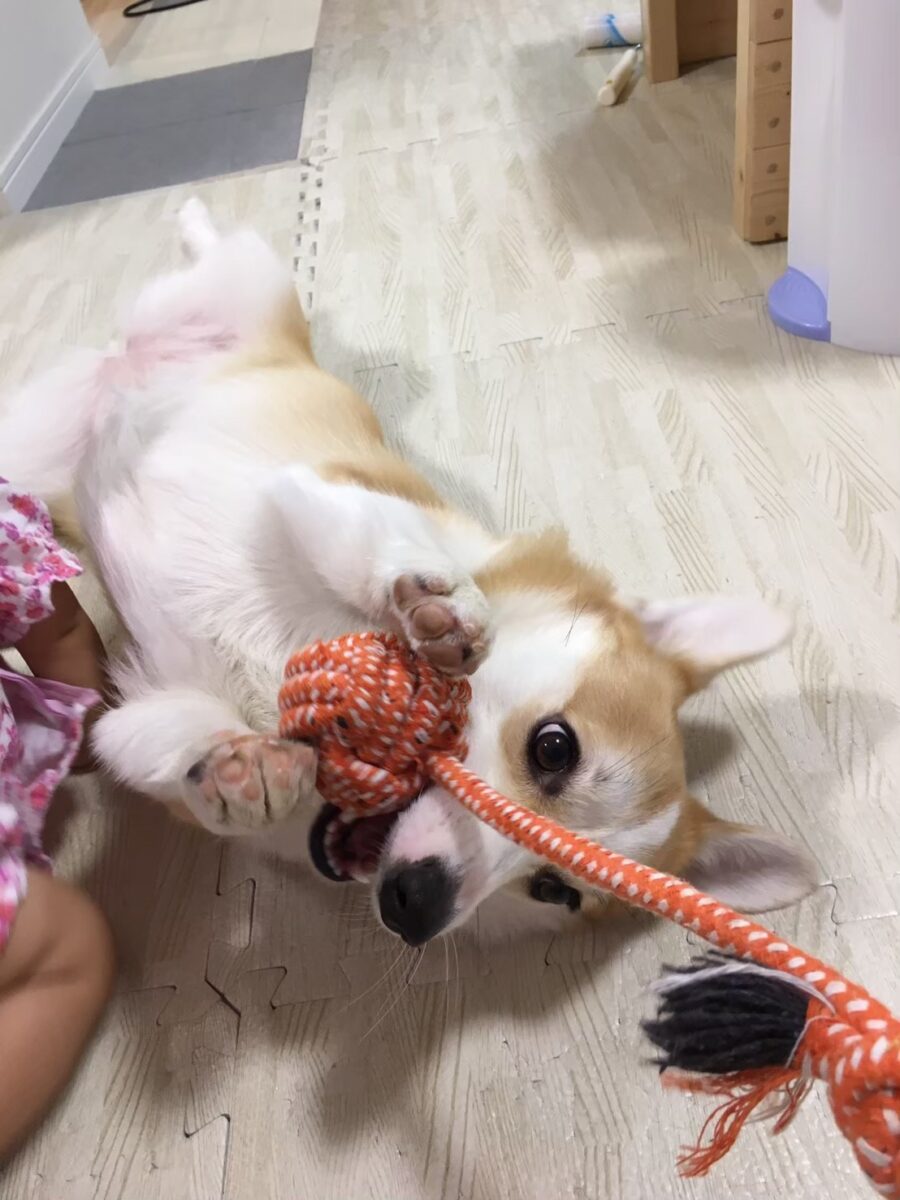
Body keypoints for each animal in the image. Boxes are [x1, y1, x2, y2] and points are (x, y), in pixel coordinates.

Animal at [1, 201, 815, 946]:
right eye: (554, 748)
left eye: (554, 890)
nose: (415, 909)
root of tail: (119, 364)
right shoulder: (322, 493)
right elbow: (382, 549)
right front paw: (442, 609)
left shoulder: (143, 715)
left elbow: (164, 746)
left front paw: (238, 769)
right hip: (249, 288)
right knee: (219, 250)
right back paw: (192, 216)